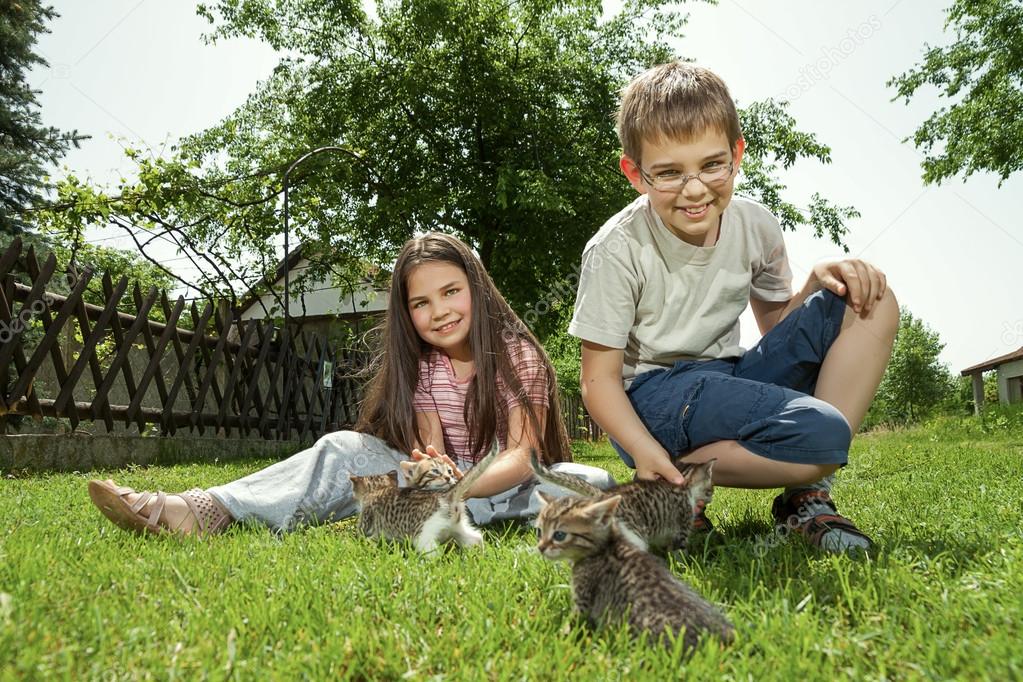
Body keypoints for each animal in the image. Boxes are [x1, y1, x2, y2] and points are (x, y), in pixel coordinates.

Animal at [349, 439, 497, 552]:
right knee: (476, 538)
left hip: (424, 535)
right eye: (436, 471)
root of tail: (447, 495)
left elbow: (361, 536)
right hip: (458, 528)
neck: (378, 488)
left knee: (433, 552)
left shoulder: (365, 520)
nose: (449, 477)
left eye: (449, 471)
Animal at [531, 453, 716, 556]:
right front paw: (684, 566)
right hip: (632, 534)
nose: (711, 497)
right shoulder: (682, 526)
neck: (684, 488)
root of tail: (604, 495)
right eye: (711, 489)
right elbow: (679, 551)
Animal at [536, 492, 736, 654]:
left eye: (559, 535)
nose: (540, 548)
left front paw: (558, 639)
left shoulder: (583, 599)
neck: (607, 545)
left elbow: (573, 622)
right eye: (539, 531)